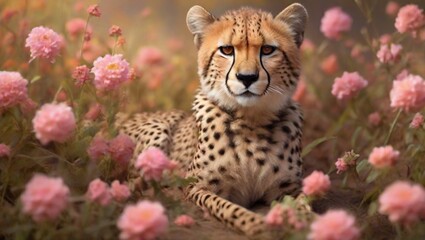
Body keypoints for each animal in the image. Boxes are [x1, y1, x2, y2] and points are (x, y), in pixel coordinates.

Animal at [116, 3, 308, 236]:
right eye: (227, 50)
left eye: (268, 50)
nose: (247, 78)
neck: (251, 122)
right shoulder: (196, 187)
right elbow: (230, 208)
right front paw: (258, 225)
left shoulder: (289, 188)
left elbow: (305, 204)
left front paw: (307, 222)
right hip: (157, 131)